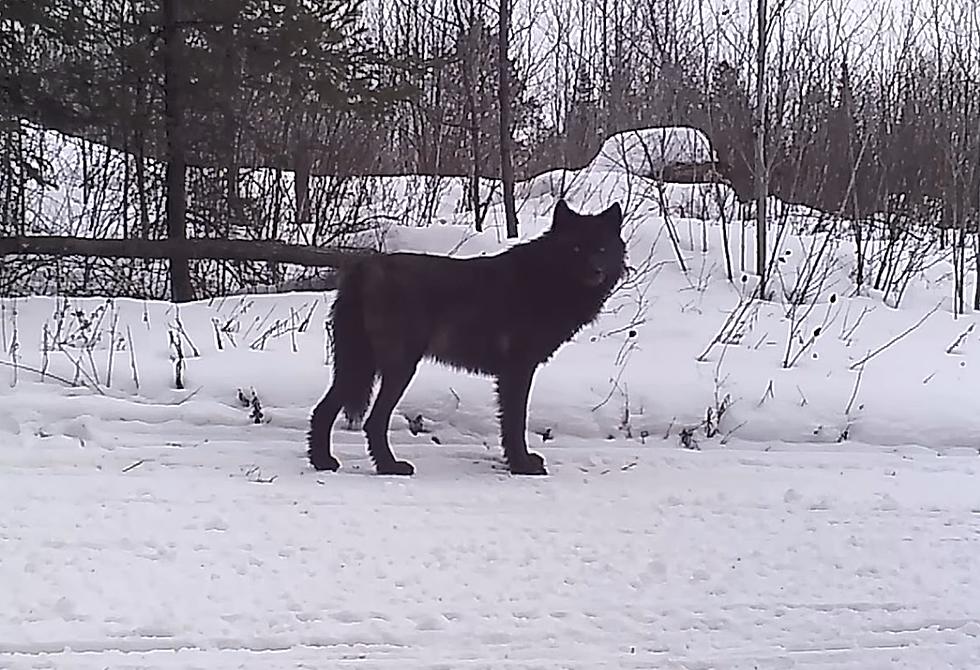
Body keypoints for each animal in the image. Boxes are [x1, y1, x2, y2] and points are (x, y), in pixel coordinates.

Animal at [306, 201, 628, 478]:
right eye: (575, 248)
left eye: (601, 248)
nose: (595, 270)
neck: (545, 278)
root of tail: (364, 267)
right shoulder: (518, 370)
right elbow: (515, 422)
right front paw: (522, 465)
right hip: (398, 367)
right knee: (373, 421)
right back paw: (389, 466)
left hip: (360, 365)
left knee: (324, 409)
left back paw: (323, 461)